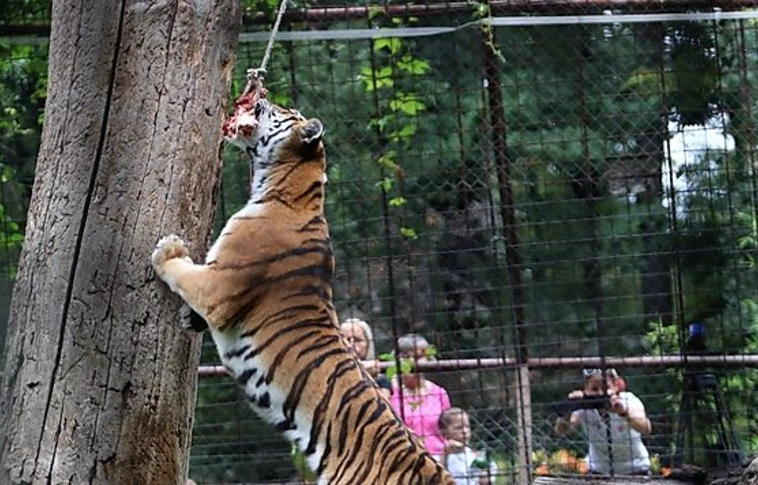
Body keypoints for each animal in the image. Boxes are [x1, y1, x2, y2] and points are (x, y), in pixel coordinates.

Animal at [151, 87, 455, 484]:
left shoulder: (220, 286)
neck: (287, 190)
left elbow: (185, 273)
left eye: (286, 111)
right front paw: (190, 318)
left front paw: (167, 250)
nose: (262, 97)